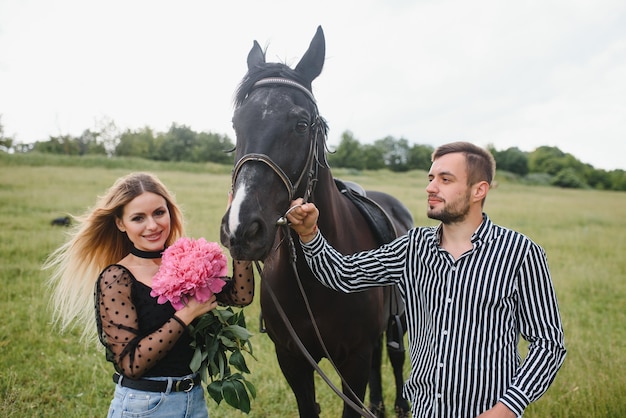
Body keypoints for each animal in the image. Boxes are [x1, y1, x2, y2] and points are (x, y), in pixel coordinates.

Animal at [221, 26, 414, 418]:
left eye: (300, 124)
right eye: (236, 123)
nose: (242, 230)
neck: (312, 280)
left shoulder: (353, 360)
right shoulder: (292, 359)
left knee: (395, 358)